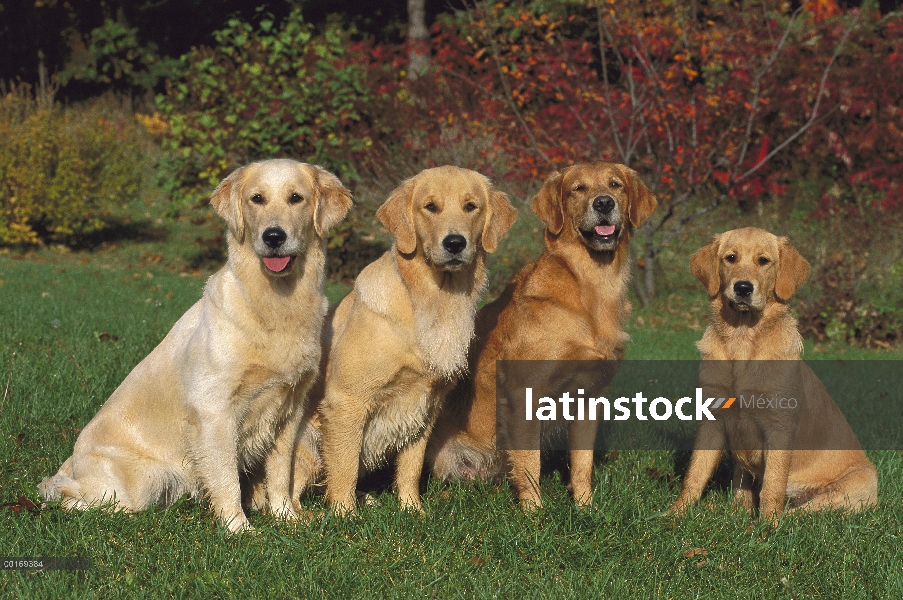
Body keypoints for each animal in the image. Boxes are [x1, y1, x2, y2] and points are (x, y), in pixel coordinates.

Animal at [41, 161, 354, 536]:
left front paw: (285, 518)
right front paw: (238, 529)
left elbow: (281, 474)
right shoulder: (214, 411)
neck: (274, 305)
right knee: (66, 495)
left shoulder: (289, 408)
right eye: (257, 199)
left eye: (296, 198)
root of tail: (70, 463)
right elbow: (227, 478)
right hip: (143, 480)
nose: (273, 237)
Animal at [290, 165, 516, 516]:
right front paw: (344, 516)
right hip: (307, 443)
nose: (455, 243)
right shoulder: (347, 401)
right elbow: (344, 468)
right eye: (430, 207)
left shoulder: (424, 405)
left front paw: (412, 509)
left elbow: (410, 467)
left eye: (471, 206)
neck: (432, 301)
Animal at [424, 162, 656, 508]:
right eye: (578, 189)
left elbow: (582, 463)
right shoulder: (524, 394)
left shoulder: (590, 395)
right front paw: (534, 514)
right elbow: (530, 465)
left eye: (616, 185)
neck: (591, 287)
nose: (604, 203)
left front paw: (585, 507)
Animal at [668, 227, 880, 516]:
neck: (743, 340)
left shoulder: (779, 427)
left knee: (800, 511)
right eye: (731, 258)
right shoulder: (711, 418)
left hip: (856, 484)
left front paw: (768, 524)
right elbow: (695, 474)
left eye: (764, 261)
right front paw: (675, 514)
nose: (743, 287)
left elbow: (772, 486)